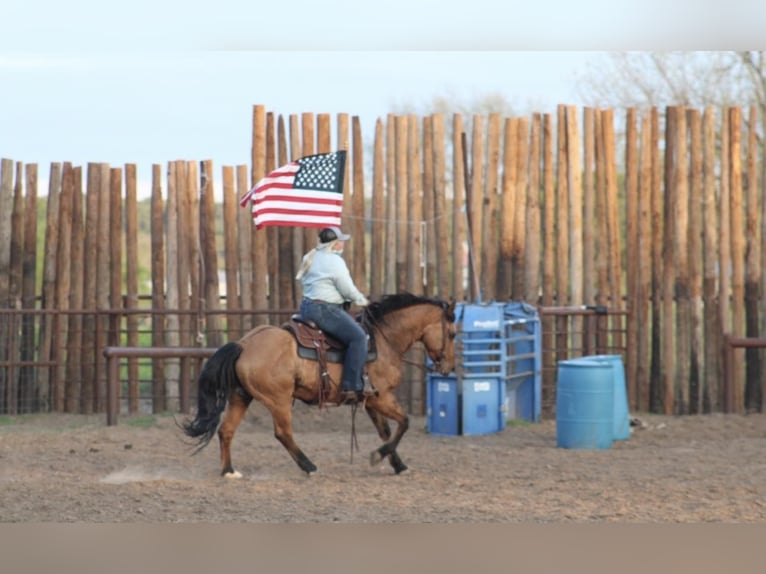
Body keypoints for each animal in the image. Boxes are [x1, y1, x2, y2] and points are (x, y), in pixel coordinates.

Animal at [182, 294, 456, 480]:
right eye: (453, 334)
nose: (449, 367)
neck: (383, 341)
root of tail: (244, 343)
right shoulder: (382, 398)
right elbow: (404, 423)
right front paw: (378, 456)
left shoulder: (371, 400)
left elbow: (386, 431)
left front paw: (398, 465)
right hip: (278, 399)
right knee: (283, 433)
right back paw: (309, 466)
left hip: (242, 396)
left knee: (226, 430)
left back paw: (229, 471)